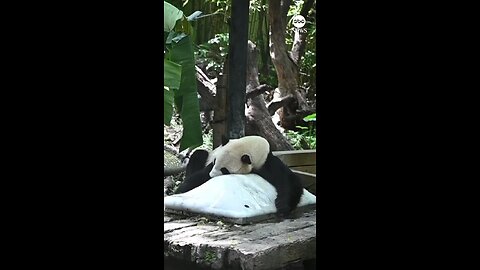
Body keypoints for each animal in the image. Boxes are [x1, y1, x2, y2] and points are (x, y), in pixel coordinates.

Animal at [174, 136, 304, 218]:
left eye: (224, 170)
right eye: (215, 161)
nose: (211, 176)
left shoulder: (266, 162)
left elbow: (288, 180)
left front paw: (282, 206)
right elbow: (197, 177)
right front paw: (181, 190)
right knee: (198, 155)